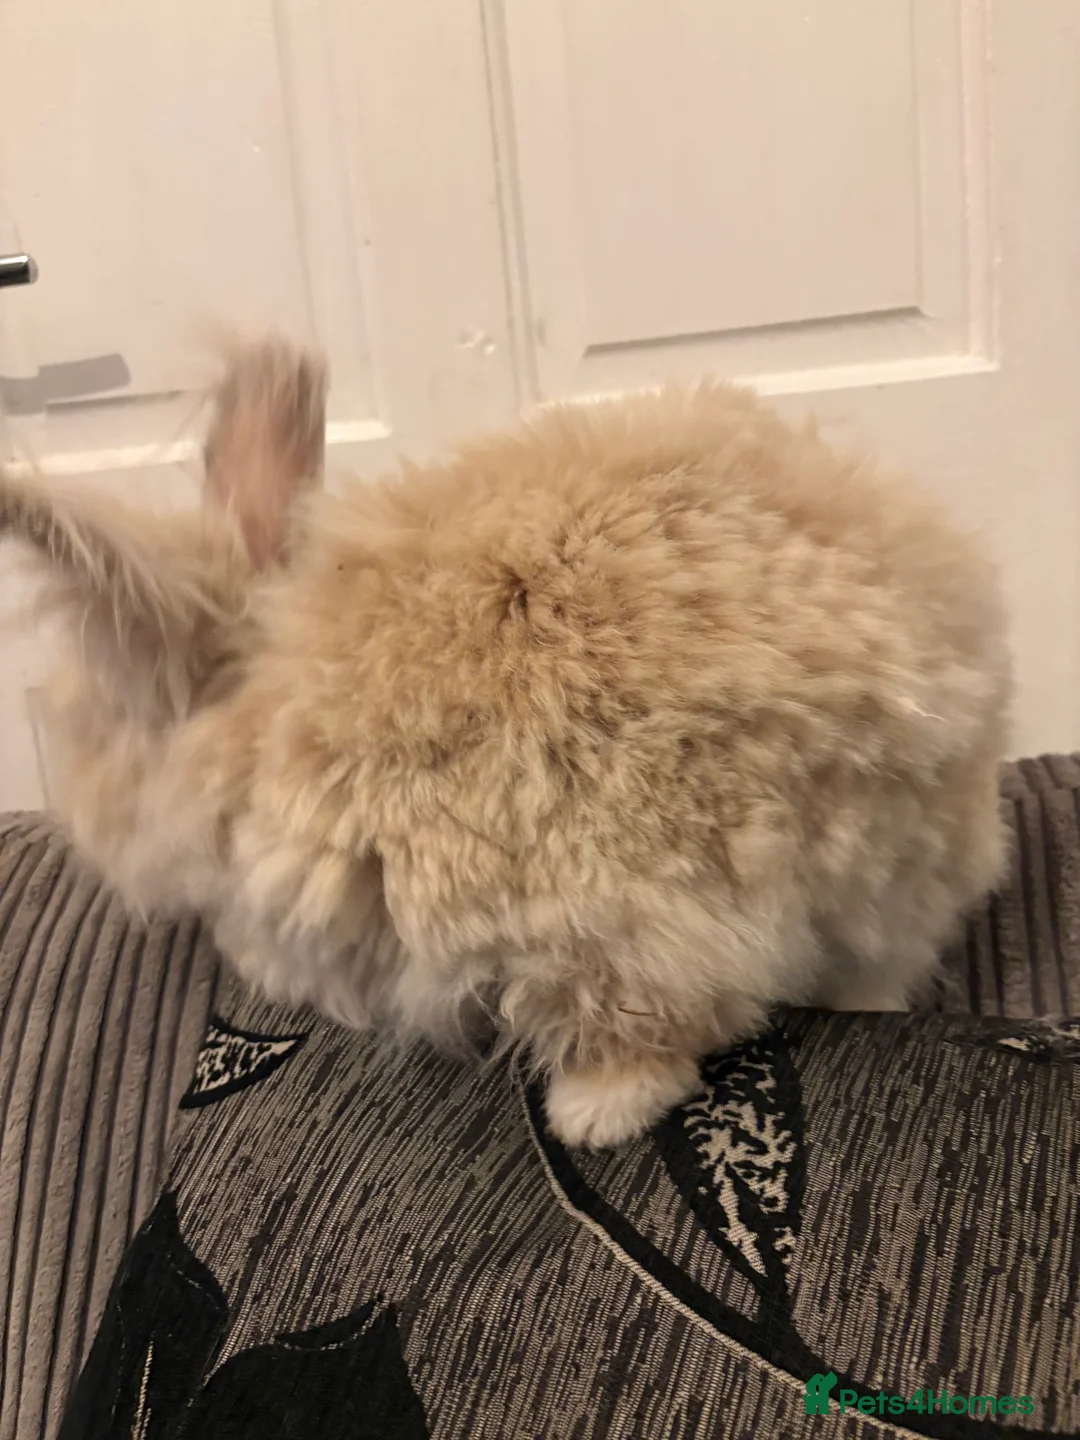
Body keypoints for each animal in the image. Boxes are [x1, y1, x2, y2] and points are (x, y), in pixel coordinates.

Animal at [0, 335, 1011, 1149]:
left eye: (94, 733)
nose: (78, 824)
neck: (269, 695)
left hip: (620, 886)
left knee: (664, 1007)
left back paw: (593, 1113)